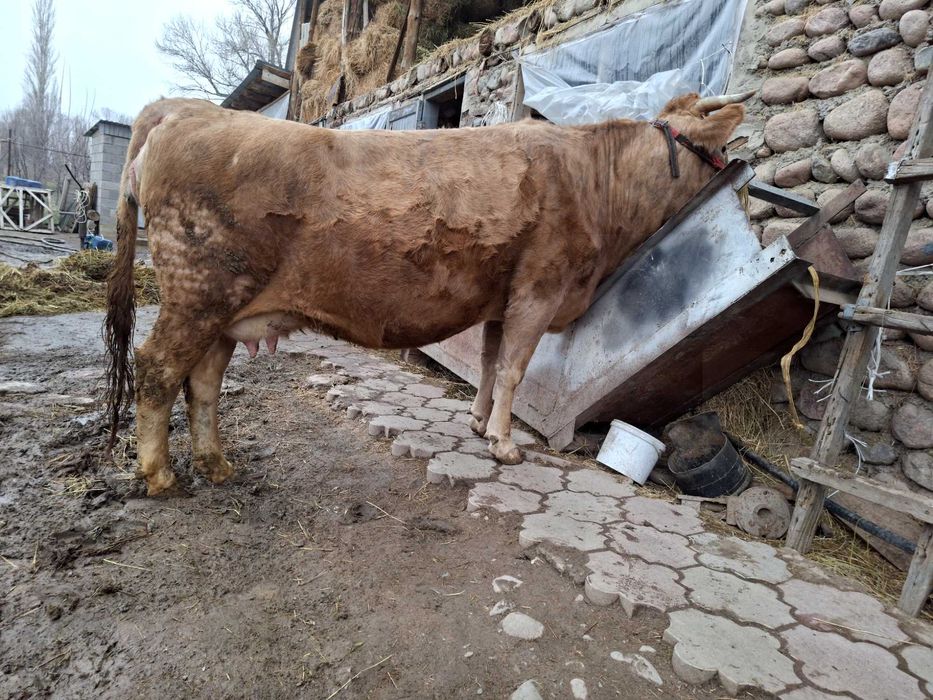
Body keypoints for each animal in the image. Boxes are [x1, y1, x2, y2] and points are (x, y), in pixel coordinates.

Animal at [103, 91, 752, 496]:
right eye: (714, 144)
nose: (741, 171)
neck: (596, 181)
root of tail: (180, 109)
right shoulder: (540, 287)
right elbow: (514, 368)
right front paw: (504, 445)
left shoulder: (501, 299)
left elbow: (490, 362)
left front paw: (477, 422)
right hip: (198, 289)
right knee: (157, 368)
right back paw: (160, 475)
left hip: (225, 307)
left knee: (203, 380)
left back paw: (216, 464)